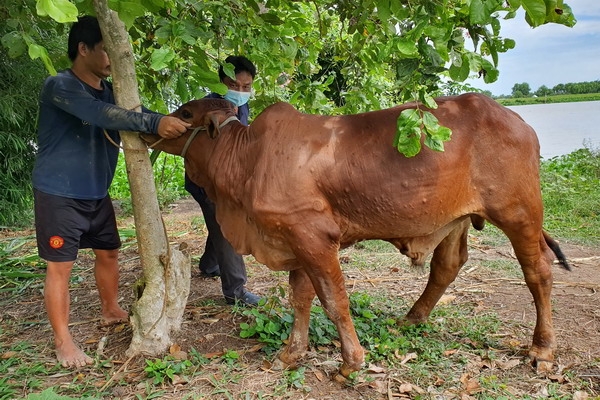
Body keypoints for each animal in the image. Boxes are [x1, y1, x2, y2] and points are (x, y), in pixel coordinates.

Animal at [143, 94, 568, 378]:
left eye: (185, 113)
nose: (154, 126)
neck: (247, 160)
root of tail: (518, 120)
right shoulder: (295, 241)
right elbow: (301, 299)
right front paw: (291, 354)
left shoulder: (313, 237)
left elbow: (334, 301)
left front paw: (351, 364)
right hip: (456, 219)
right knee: (447, 265)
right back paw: (411, 318)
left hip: (519, 213)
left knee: (539, 273)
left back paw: (543, 349)